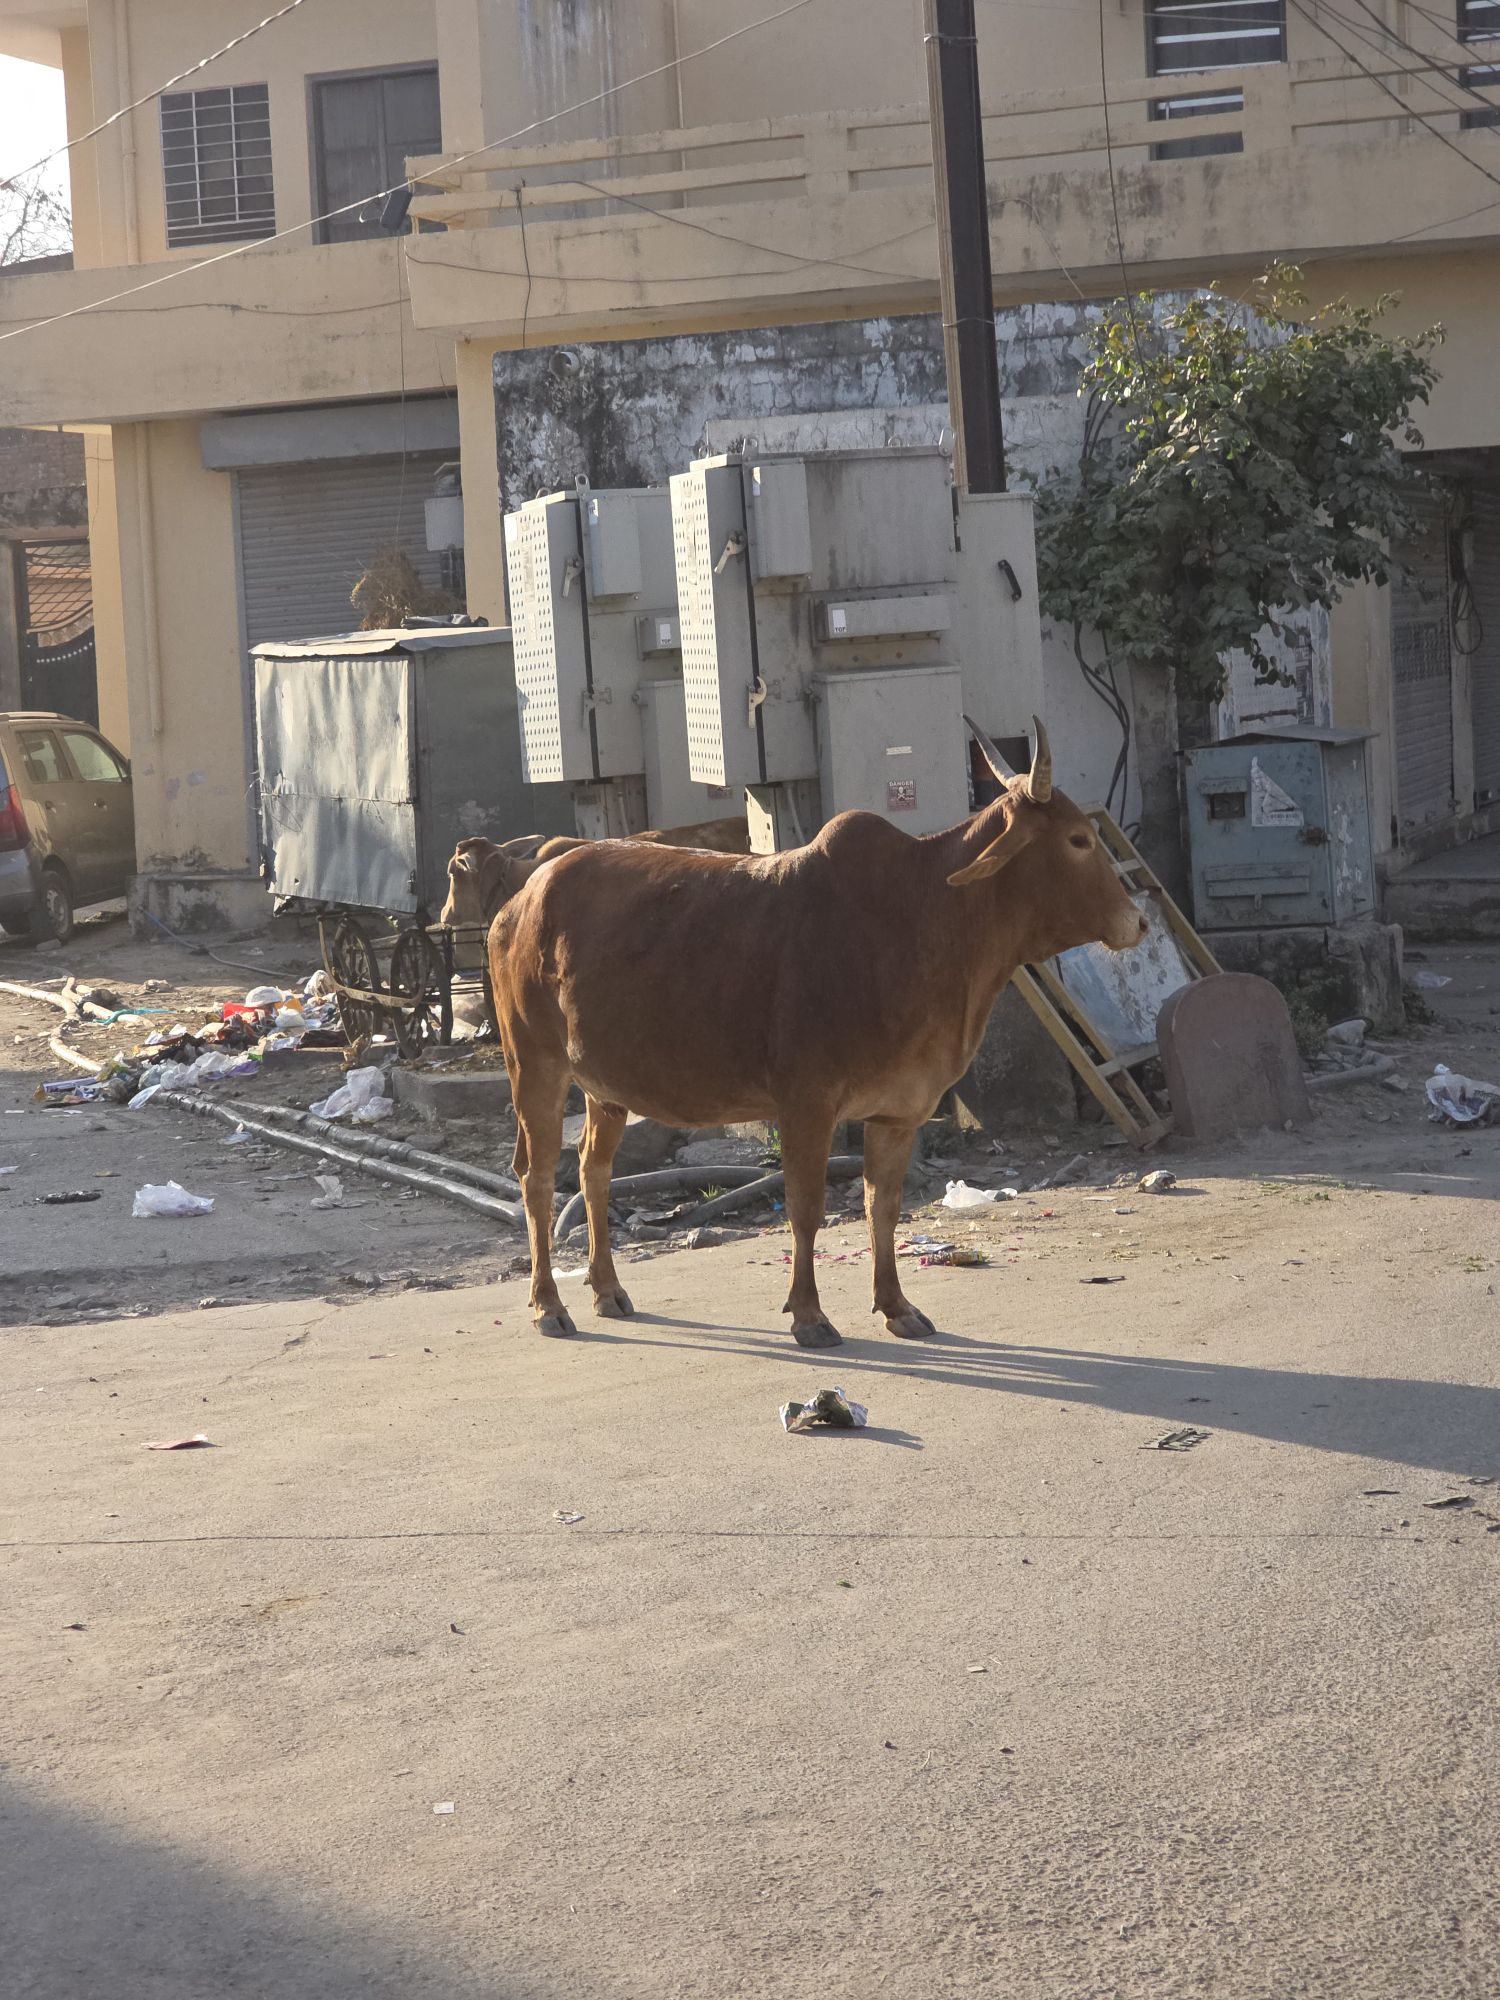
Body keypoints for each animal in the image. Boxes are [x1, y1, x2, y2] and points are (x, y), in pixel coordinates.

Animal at [488, 721, 1150, 1348]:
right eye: (1078, 840)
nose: (1139, 922)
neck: (925, 917)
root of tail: (522, 897)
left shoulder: (898, 1111)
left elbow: (883, 1210)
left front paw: (896, 1306)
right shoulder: (806, 1104)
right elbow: (806, 1212)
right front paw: (808, 1314)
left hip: (605, 1087)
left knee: (593, 1170)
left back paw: (607, 1288)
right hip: (534, 1065)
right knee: (537, 1176)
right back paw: (549, 1304)